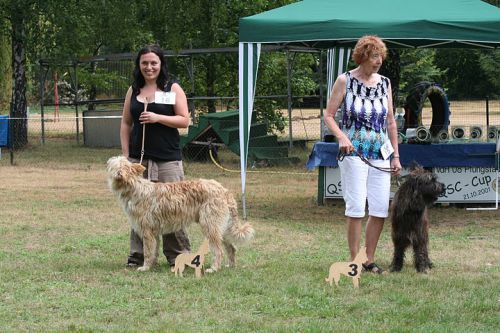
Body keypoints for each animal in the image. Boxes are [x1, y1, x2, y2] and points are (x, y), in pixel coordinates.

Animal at [106, 155, 254, 270]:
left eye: (118, 166)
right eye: (113, 166)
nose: (118, 173)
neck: (134, 187)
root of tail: (224, 190)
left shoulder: (147, 231)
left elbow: (148, 251)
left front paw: (145, 267)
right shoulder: (154, 232)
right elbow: (153, 251)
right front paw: (152, 266)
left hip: (210, 225)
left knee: (218, 250)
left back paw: (214, 268)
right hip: (222, 227)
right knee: (231, 248)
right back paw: (230, 266)